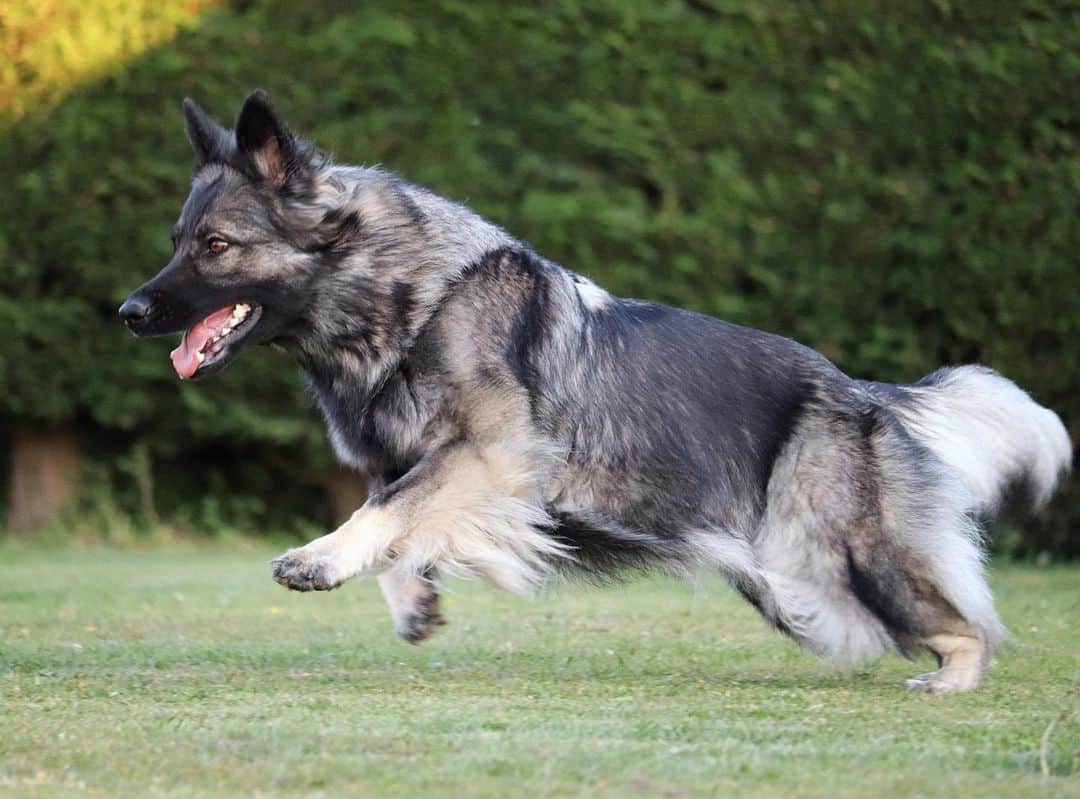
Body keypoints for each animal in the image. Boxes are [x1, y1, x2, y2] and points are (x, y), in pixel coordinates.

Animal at [120, 92, 1071, 691]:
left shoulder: (489, 453)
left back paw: (950, 683)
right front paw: (410, 597)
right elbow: (398, 519)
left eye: (214, 245)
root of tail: (865, 394)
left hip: (843, 557)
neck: (398, 296)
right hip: (799, 590)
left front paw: (319, 558)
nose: (129, 312)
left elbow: (385, 512)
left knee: (967, 625)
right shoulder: (430, 466)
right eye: (175, 238)